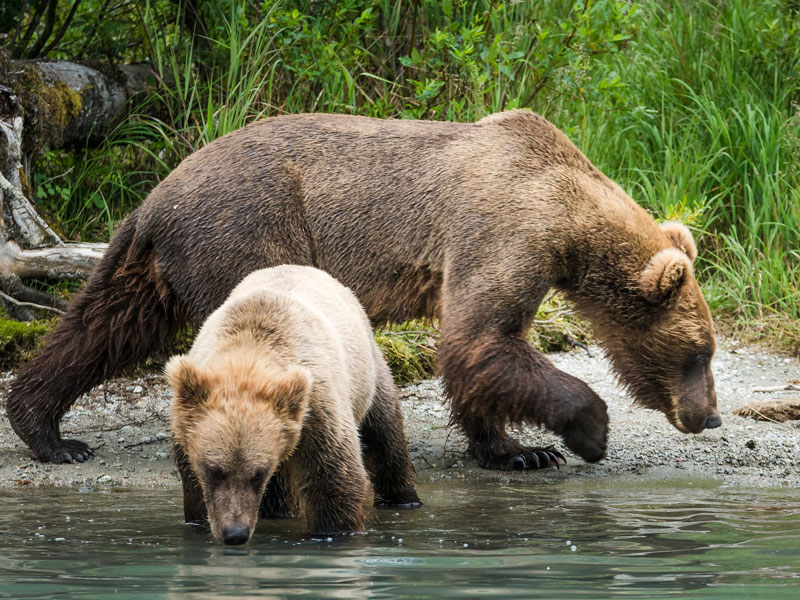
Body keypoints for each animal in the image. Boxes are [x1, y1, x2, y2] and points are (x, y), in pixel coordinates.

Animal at [6, 110, 720, 472]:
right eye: (699, 353)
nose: (709, 415)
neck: (569, 216)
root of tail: (157, 197)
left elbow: (479, 353)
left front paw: (517, 450)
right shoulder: (501, 228)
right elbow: (481, 341)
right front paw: (586, 432)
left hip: (156, 265)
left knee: (101, 327)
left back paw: (47, 431)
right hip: (245, 233)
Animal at [166, 266, 422, 544]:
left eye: (258, 473)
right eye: (214, 470)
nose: (236, 533)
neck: (248, 355)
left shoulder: (315, 408)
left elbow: (333, 477)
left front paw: (335, 530)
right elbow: (195, 488)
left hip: (368, 373)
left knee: (384, 433)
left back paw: (403, 498)